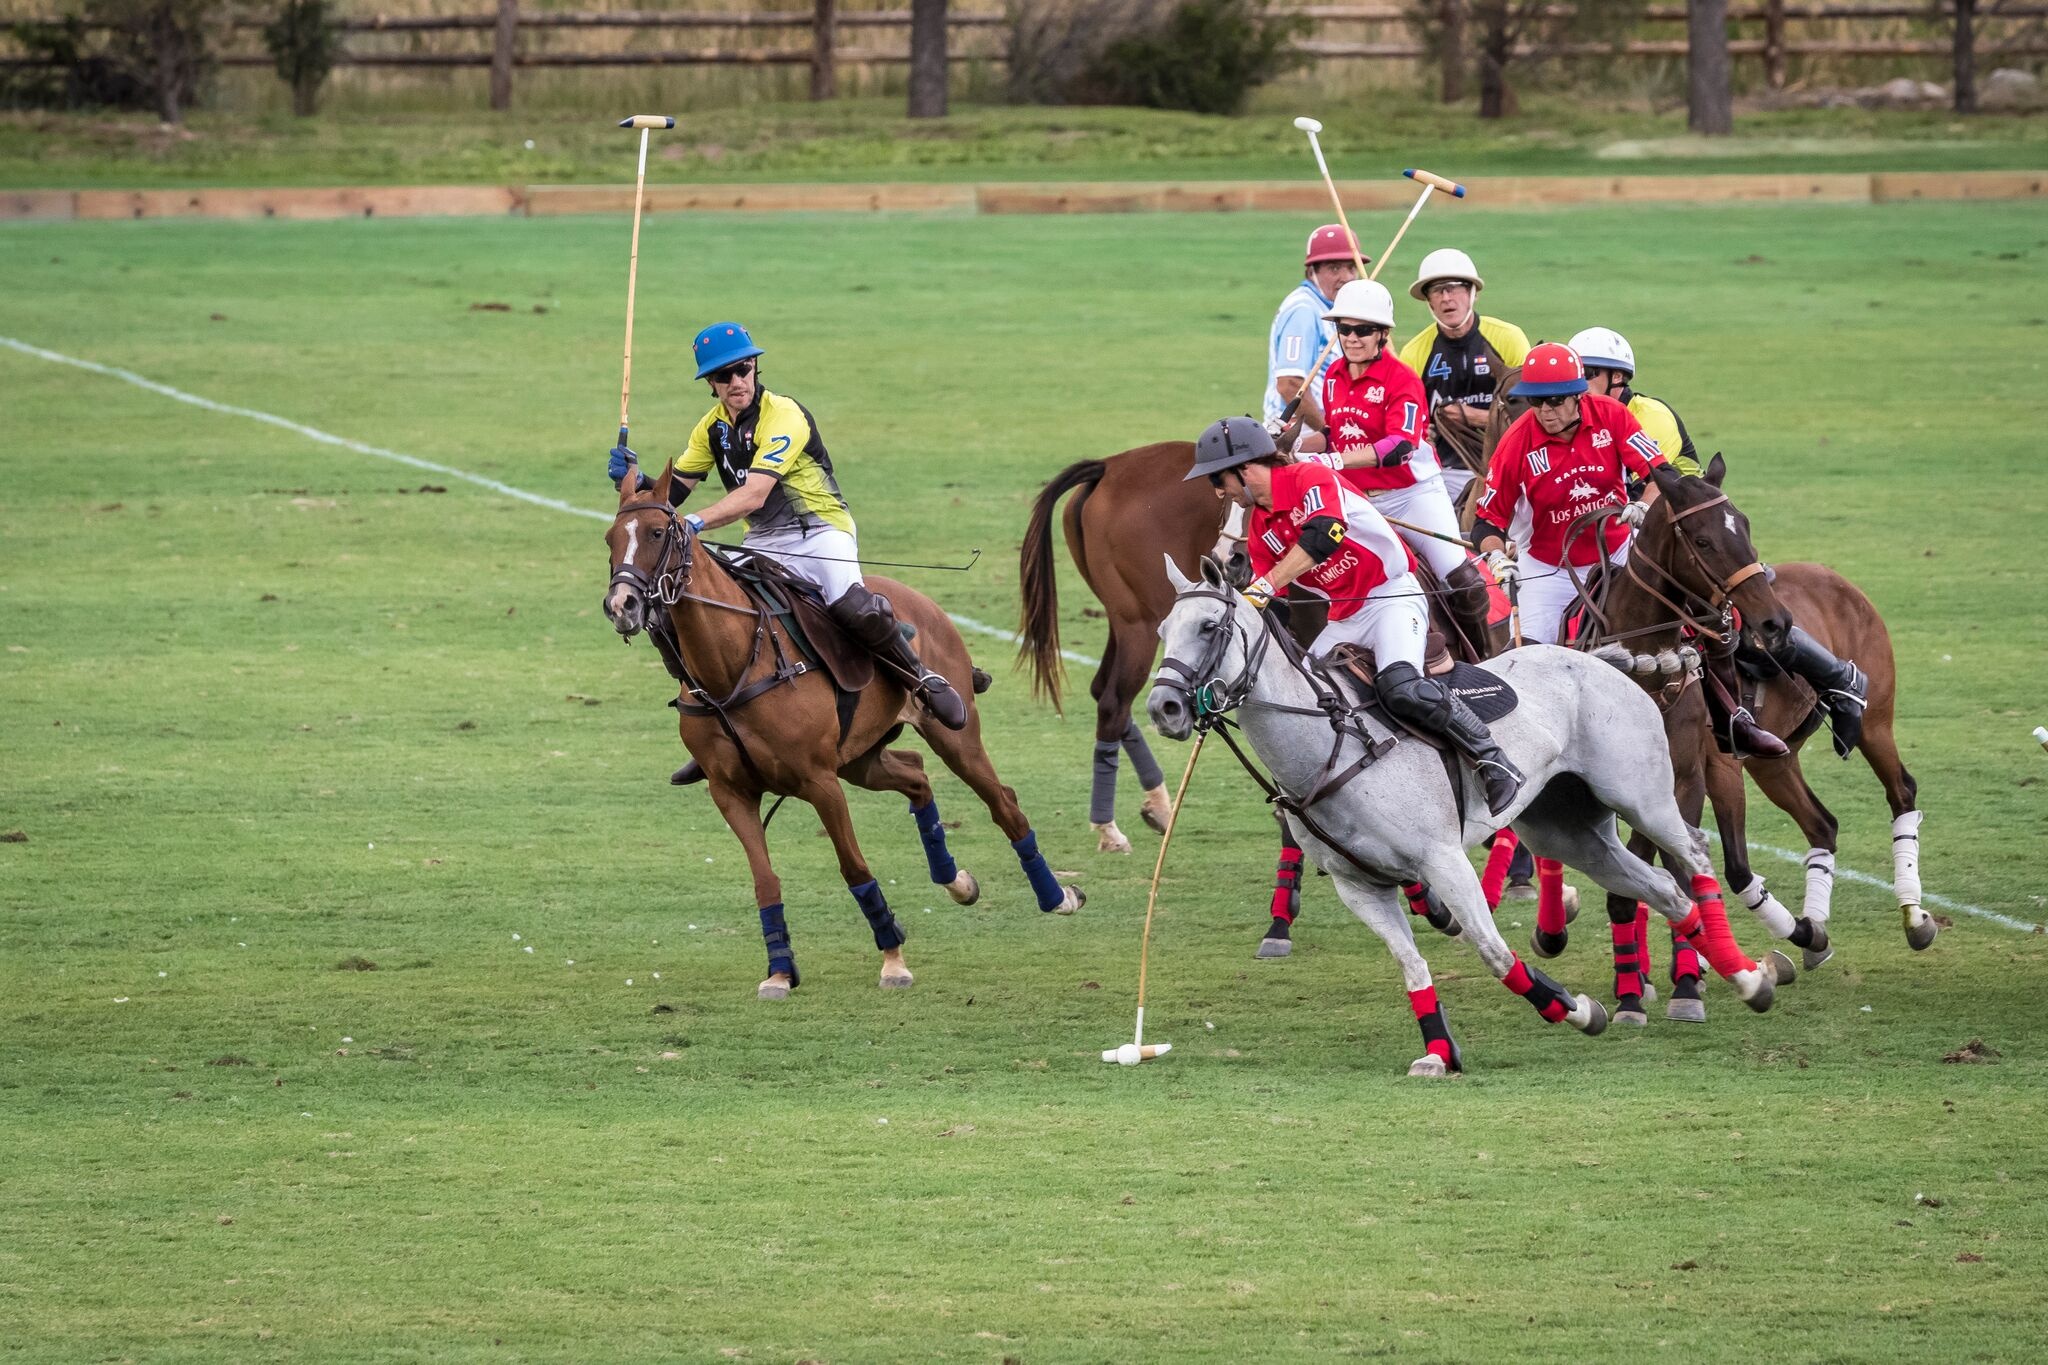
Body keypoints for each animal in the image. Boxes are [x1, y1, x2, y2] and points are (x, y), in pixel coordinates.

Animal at [598, 464, 1089, 998]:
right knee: (917, 775)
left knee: (1003, 801)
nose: (622, 605)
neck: (733, 667)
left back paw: (1058, 896)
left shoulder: (820, 782)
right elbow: (765, 881)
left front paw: (893, 962)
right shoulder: (731, 792)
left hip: (953, 736)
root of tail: (921, 600)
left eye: (657, 533)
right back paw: (956, 880)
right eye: (609, 539)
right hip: (861, 759)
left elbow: (855, 868)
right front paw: (779, 971)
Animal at [1146, 556, 1785, 1080]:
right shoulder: (1361, 886)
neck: (1331, 745)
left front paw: (1576, 1010)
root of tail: (1598, 658)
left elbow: (1493, 951)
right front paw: (1438, 1052)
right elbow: (1412, 966)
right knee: (1662, 890)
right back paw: (1739, 978)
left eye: (1209, 627)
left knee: (1693, 854)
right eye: (1162, 632)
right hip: (1569, 832)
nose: (1164, 707)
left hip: (1642, 796)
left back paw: (1746, 975)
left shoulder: (1443, 859)